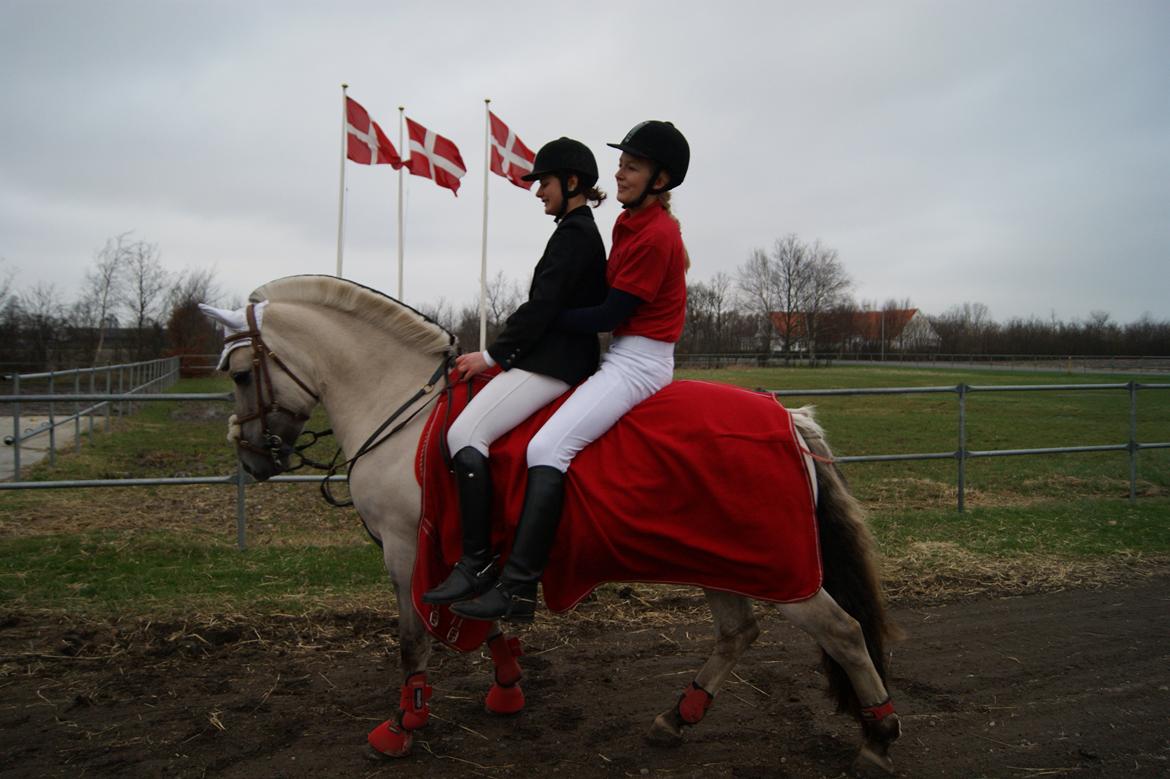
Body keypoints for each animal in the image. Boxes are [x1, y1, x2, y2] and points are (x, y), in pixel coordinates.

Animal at [201, 276, 903, 771]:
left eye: (240, 373)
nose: (251, 457)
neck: (404, 405)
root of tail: (788, 417)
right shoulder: (464, 555)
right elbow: (481, 620)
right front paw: (507, 688)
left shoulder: (406, 553)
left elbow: (412, 642)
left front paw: (402, 727)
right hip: (719, 559)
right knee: (738, 633)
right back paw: (679, 716)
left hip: (776, 570)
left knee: (843, 632)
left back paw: (879, 735)